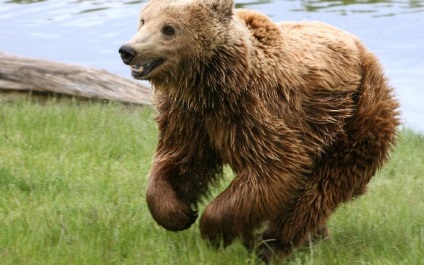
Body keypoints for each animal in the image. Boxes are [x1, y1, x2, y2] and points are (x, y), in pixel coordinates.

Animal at [119, 0, 400, 260]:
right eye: (143, 21)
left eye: (169, 28)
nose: (128, 50)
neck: (210, 85)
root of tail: (362, 49)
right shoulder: (188, 117)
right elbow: (182, 162)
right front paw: (180, 213)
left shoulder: (255, 111)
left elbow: (275, 168)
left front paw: (213, 230)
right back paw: (311, 239)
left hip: (353, 114)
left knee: (323, 186)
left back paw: (272, 244)